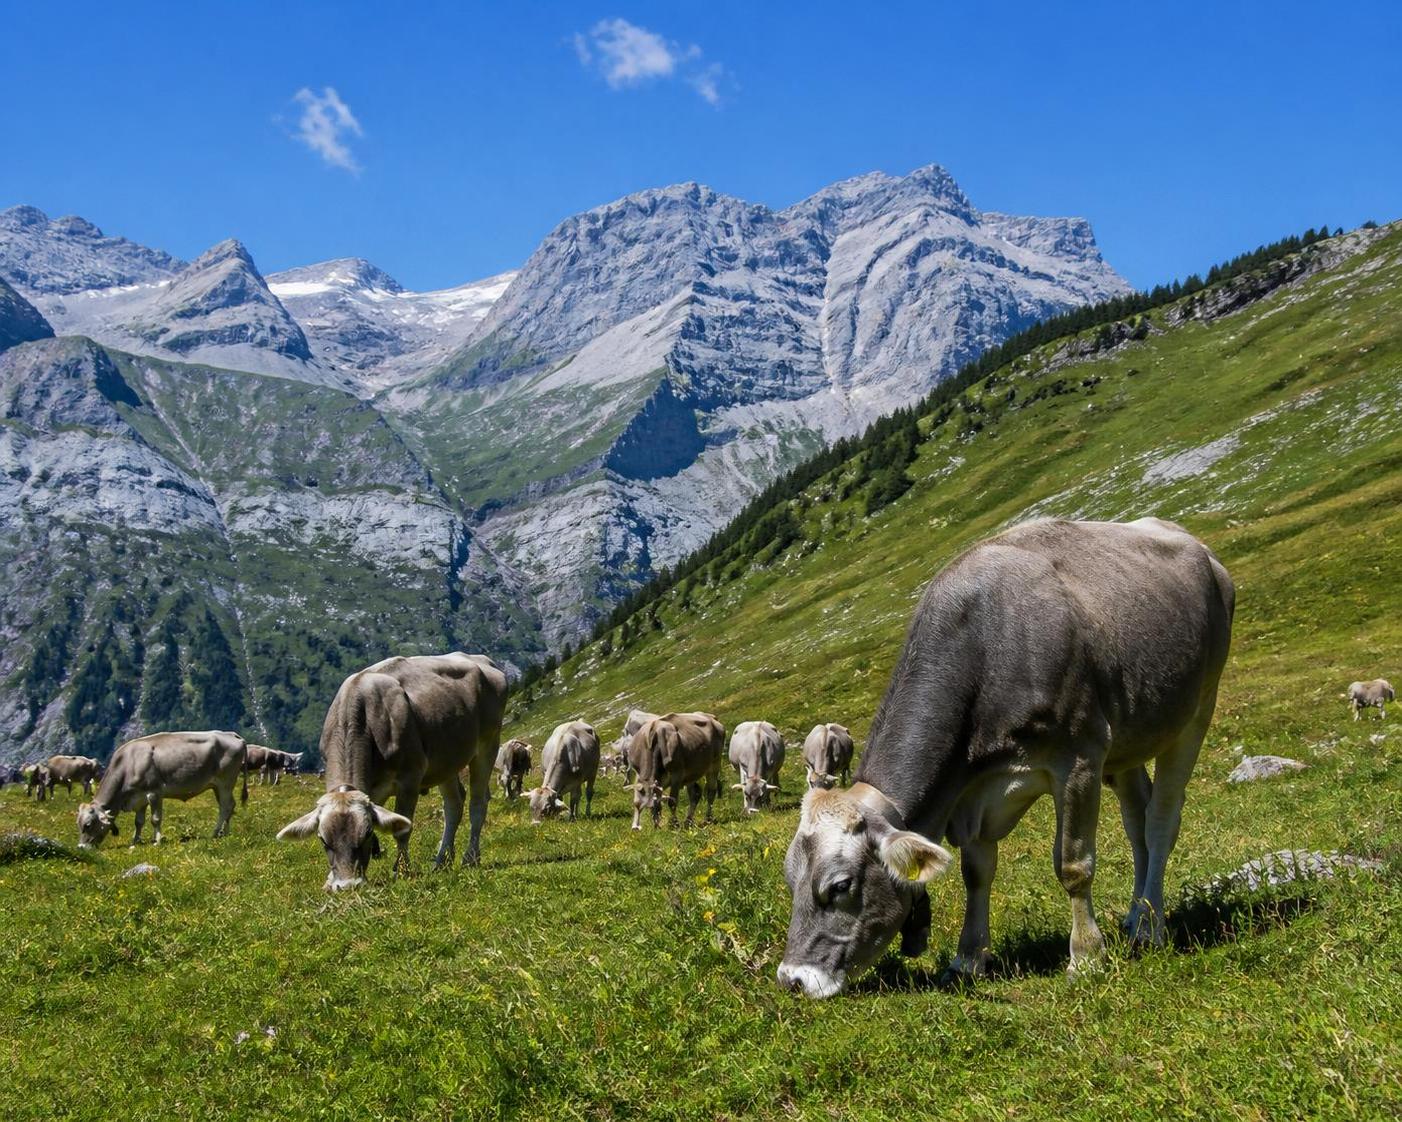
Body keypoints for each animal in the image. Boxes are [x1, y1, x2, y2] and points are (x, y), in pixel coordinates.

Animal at [76, 731, 249, 848]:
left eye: (88, 825)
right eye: (78, 824)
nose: (81, 848)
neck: (129, 763)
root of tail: (231, 734)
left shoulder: (154, 793)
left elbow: (155, 819)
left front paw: (157, 841)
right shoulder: (139, 798)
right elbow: (138, 822)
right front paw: (135, 841)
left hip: (226, 782)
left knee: (226, 806)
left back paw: (215, 832)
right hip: (217, 786)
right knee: (227, 806)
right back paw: (224, 832)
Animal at [276, 652, 507, 890]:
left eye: (367, 833)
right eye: (322, 839)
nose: (348, 885)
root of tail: (481, 659)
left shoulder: (410, 779)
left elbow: (402, 830)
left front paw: (402, 871)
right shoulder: (373, 790)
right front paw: (330, 880)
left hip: (488, 744)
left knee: (477, 804)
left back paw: (470, 858)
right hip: (446, 761)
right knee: (454, 805)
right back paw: (442, 861)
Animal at [777, 518, 1234, 998]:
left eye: (840, 885)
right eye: (790, 880)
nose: (793, 979)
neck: (988, 650)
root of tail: (1198, 546)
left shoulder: (1079, 758)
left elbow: (1074, 865)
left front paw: (1086, 956)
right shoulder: (973, 790)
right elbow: (976, 872)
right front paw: (967, 959)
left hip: (1195, 711)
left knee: (1161, 820)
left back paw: (1149, 925)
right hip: (1129, 740)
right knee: (1136, 819)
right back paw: (1134, 916)